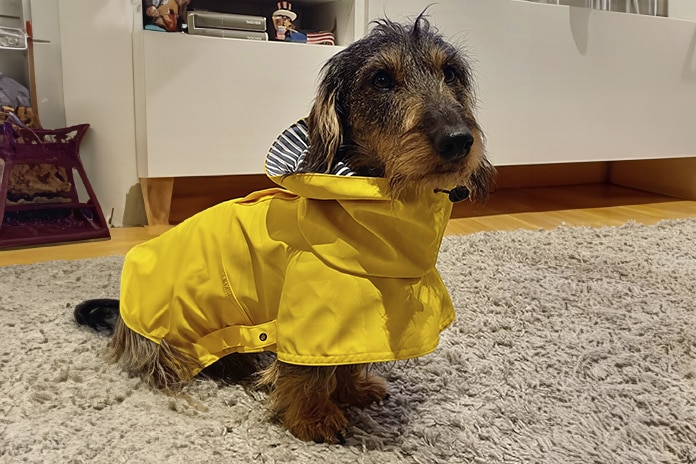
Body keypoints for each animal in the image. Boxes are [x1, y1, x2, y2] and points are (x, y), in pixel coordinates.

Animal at [76, 12, 494, 444]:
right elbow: (307, 373)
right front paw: (315, 418)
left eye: (450, 73)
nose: (458, 141)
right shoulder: (311, 315)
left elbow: (347, 360)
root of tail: (122, 319)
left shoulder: (350, 321)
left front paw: (353, 390)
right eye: (381, 80)